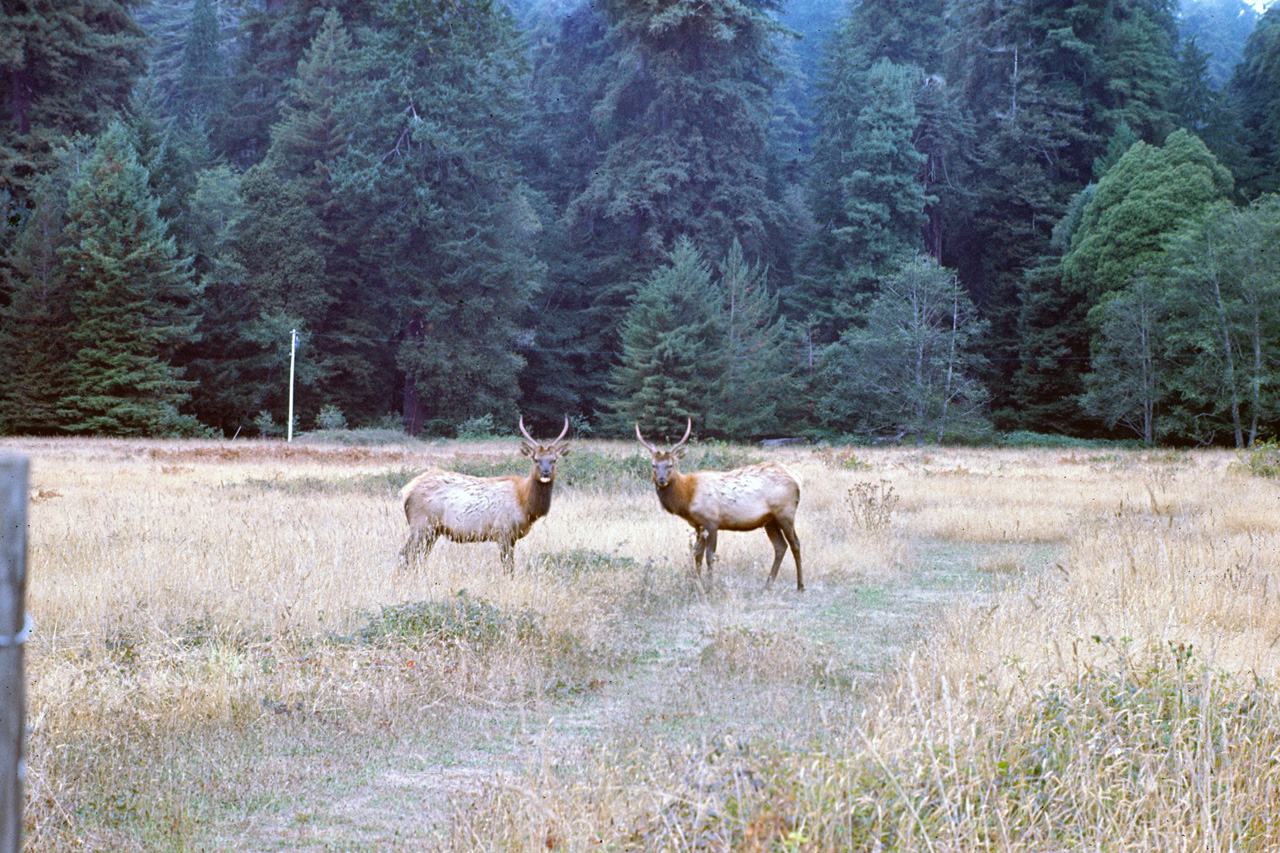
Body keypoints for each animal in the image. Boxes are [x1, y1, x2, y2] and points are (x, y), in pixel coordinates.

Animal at [399, 412, 570, 571]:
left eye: (554, 460)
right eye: (536, 459)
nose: (546, 473)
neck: (526, 506)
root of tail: (406, 491)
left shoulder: (512, 537)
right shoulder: (503, 531)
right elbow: (508, 567)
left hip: (433, 530)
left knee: (419, 556)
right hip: (421, 524)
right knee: (405, 553)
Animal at [637, 414, 803, 589]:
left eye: (670, 465)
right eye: (653, 465)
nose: (661, 480)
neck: (687, 497)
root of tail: (797, 478)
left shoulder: (712, 521)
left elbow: (710, 556)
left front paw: (710, 585)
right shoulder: (698, 525)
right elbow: (697, 555)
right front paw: (696, 582)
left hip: (785, 512)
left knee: (795, 544)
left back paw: (800, 586)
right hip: (769, 520)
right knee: (780, 546)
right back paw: (768, 584)